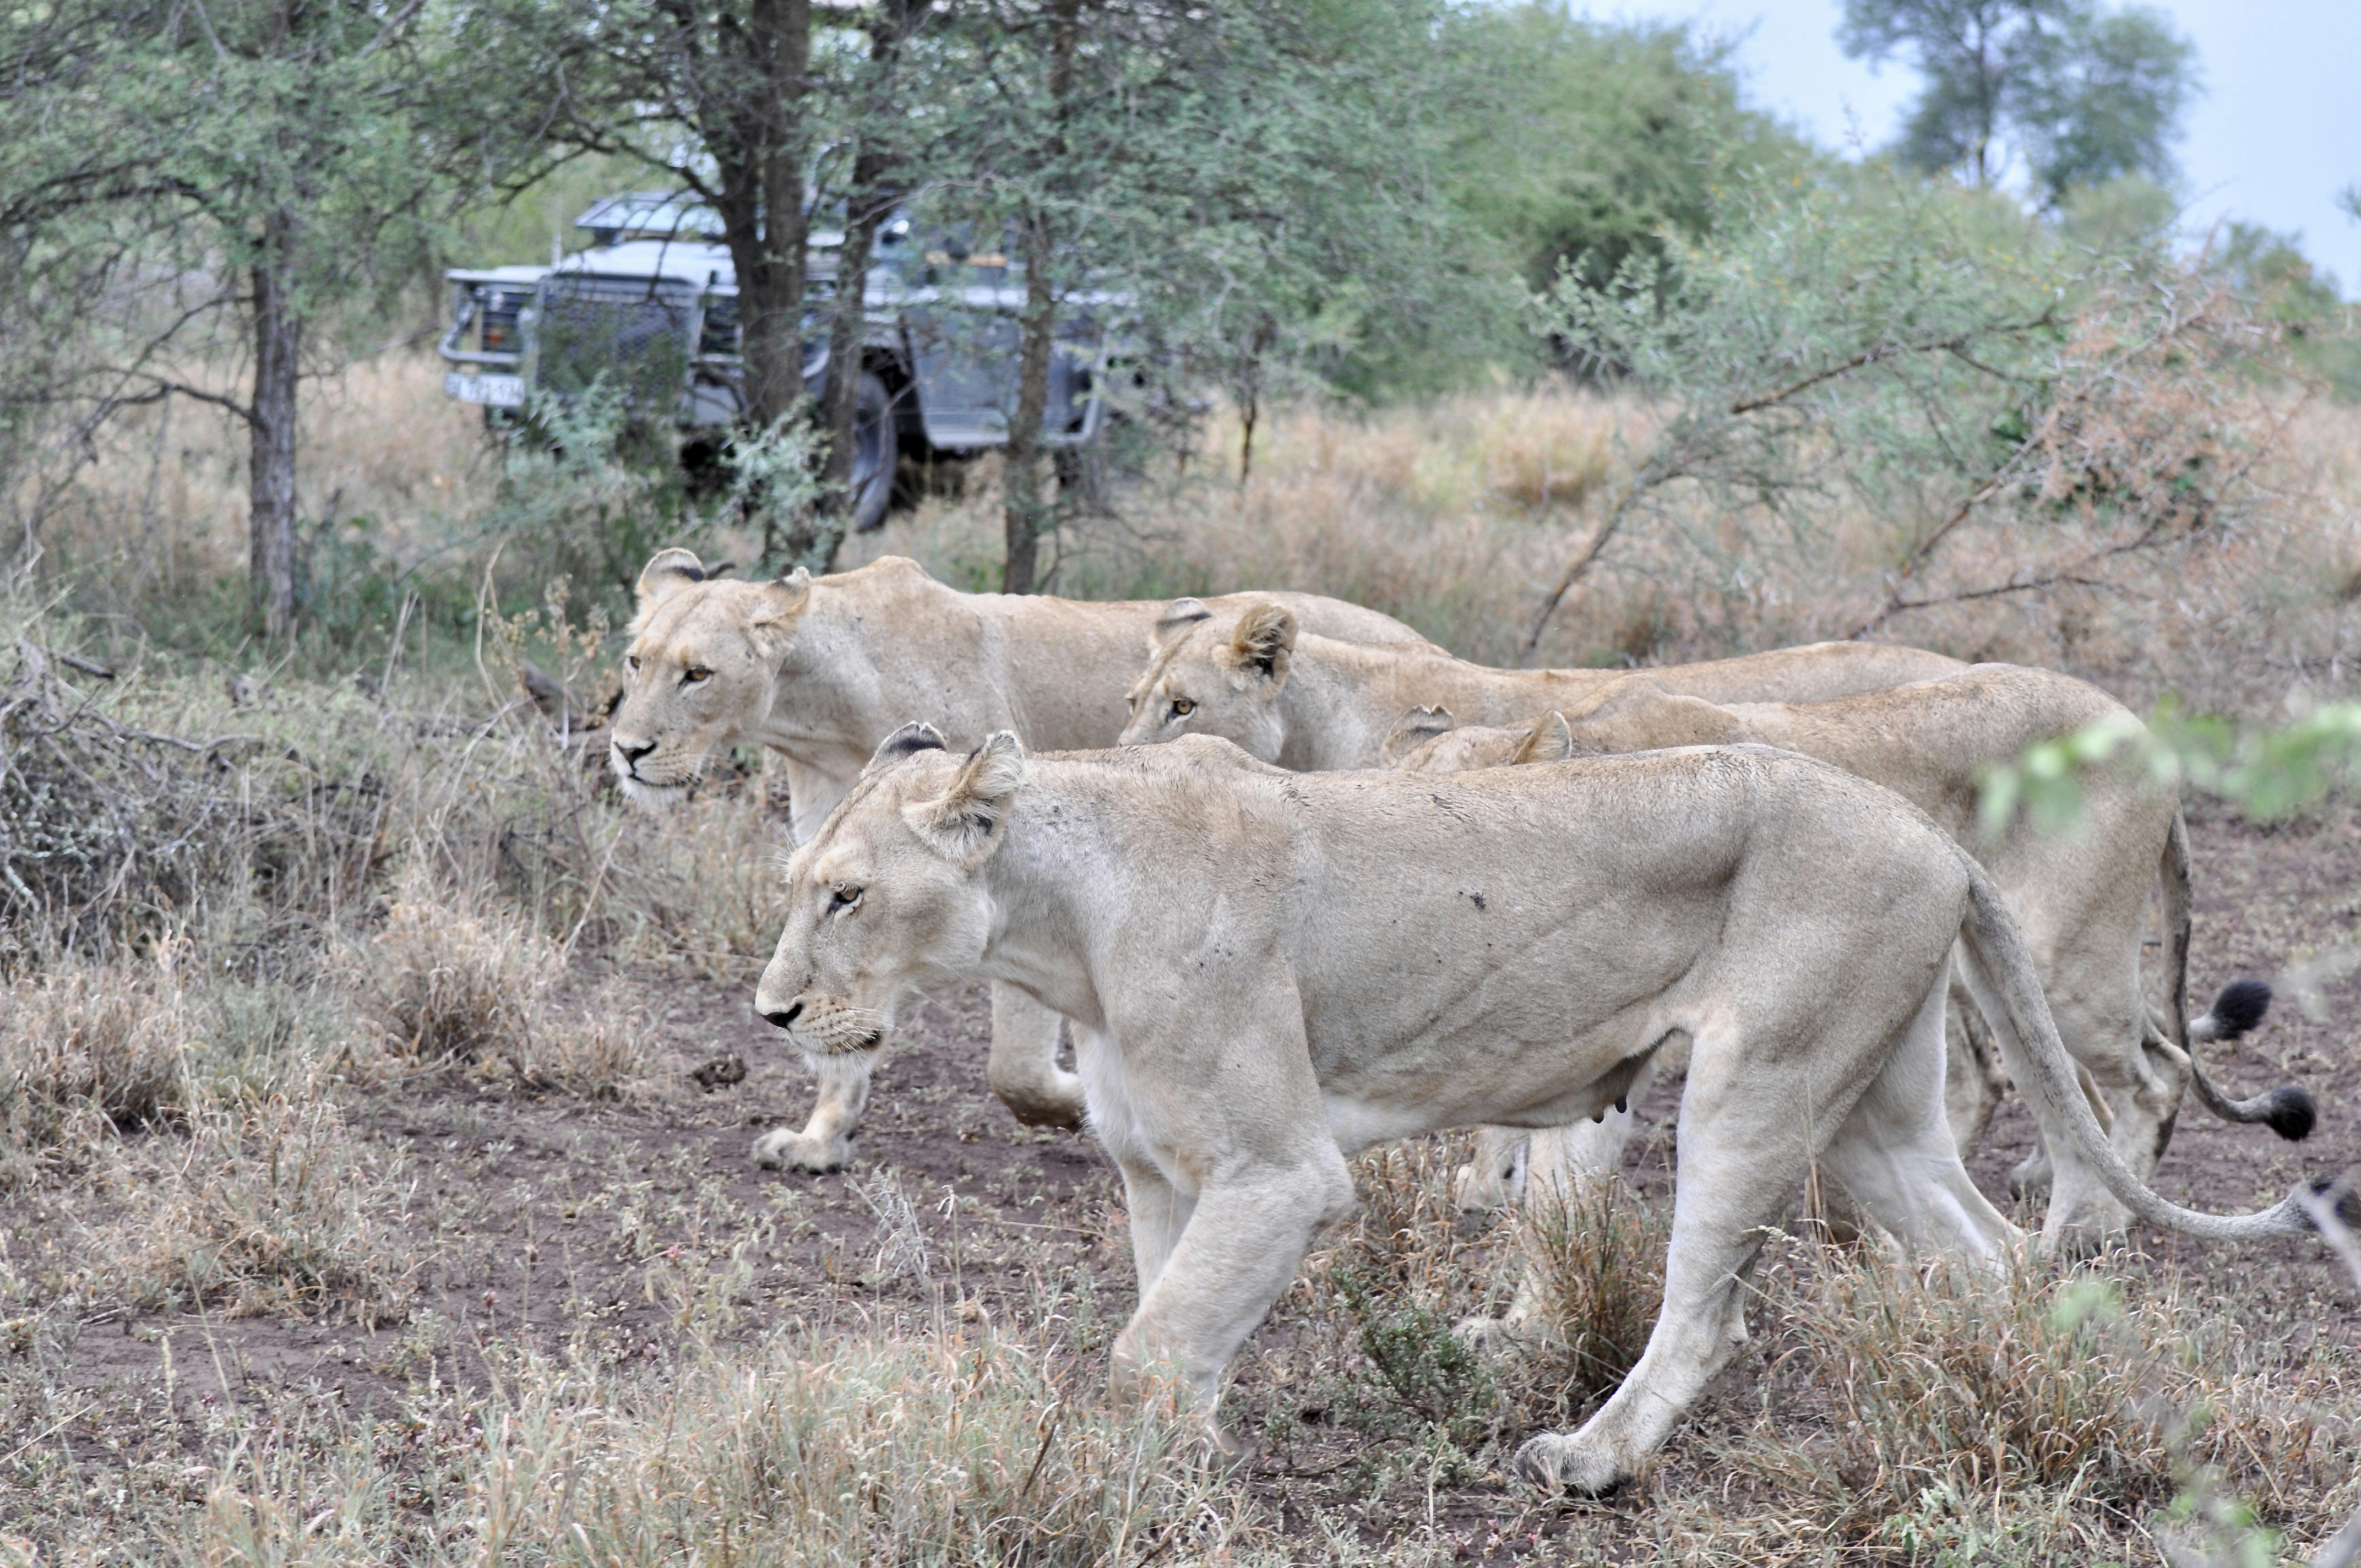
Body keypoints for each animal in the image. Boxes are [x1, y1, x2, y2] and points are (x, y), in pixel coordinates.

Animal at [605, 549, 1430, 1173]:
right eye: (635, 661)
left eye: (698, 674)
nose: (627, 750)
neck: (817, 716)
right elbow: (840, 1015)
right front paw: (820, 1141)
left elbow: (1018, 1069)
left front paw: (1078, 1109)